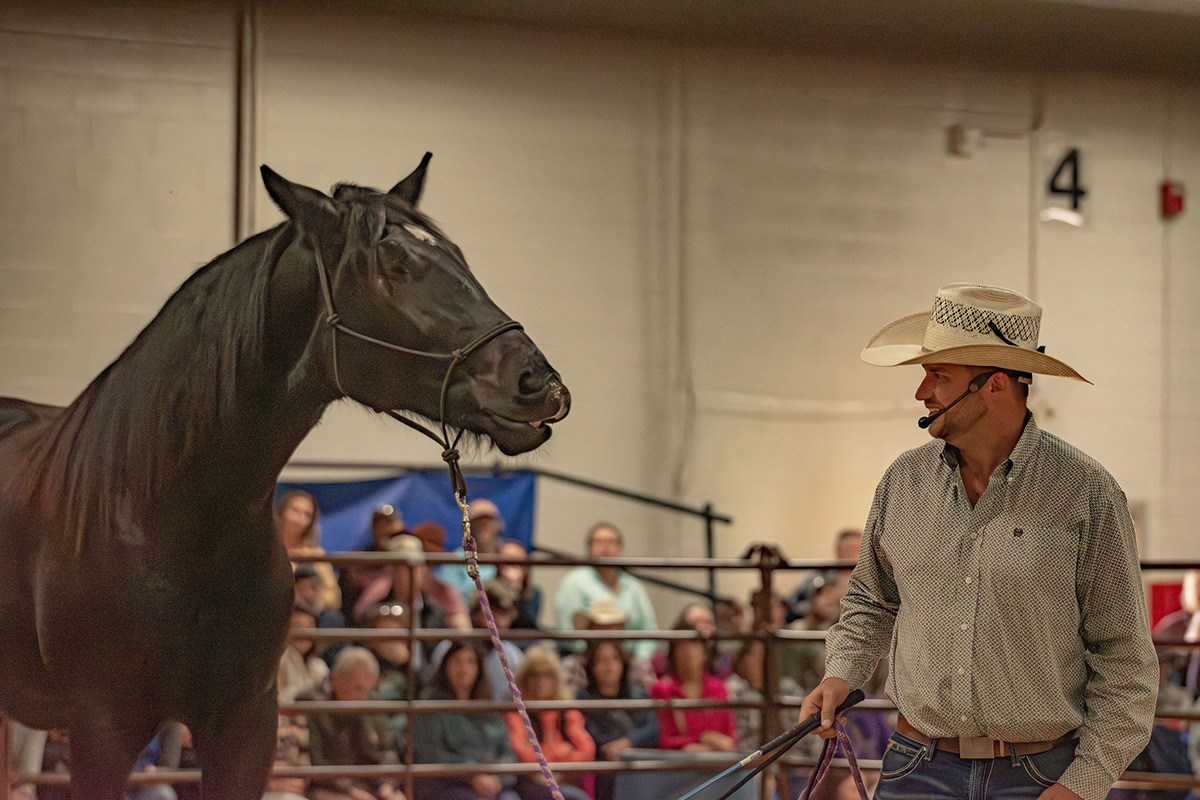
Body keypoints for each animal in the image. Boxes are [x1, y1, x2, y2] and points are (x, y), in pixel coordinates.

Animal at [0, 153, 566, 796]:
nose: (540, 385)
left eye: (459, 257)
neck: (166, 525)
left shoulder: (244, 727)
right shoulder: (101, 731)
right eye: (394, 265)